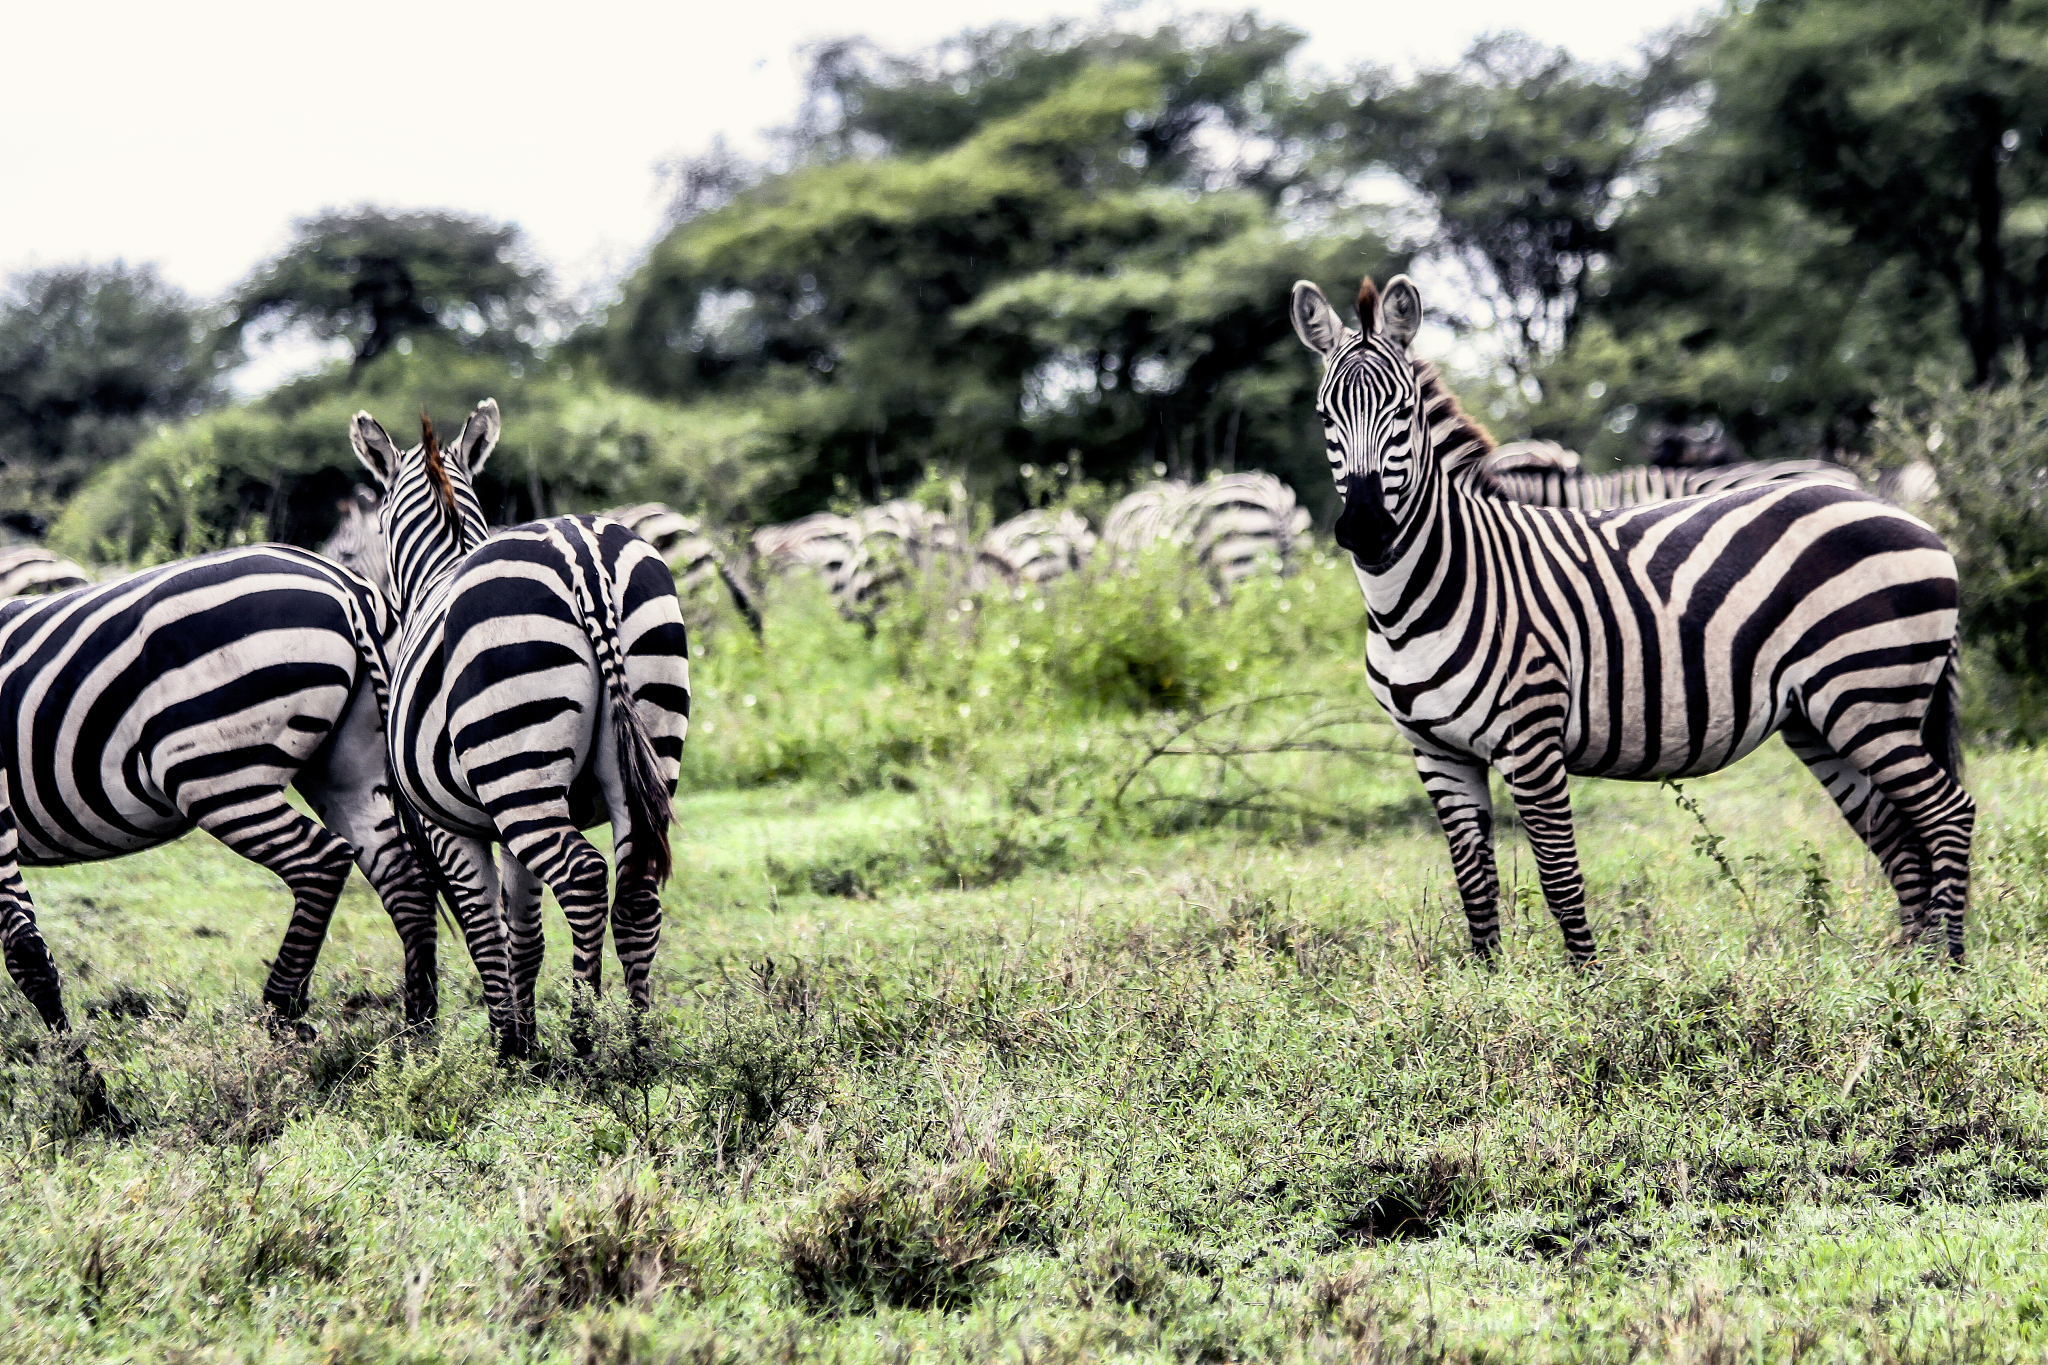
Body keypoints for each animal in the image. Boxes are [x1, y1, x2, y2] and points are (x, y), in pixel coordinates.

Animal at [0, 545, 444, 1041]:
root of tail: (345, 586)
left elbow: (25, 950)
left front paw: (68, 1056)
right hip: (345, 770)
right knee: (405, 877)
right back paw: (417, 1029)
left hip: (215, 771)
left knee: (321, 861)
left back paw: (281, 1010)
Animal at [351, 402, 690, 1055]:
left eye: (376, 527)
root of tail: (581, 554)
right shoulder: (502, 830)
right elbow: (524, 935)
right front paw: (529, 1046)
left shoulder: (450, 828)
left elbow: (487, 930)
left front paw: (509, 1048)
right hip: (644, 746)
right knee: (636, 892)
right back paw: (640, 1048)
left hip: (519, 772)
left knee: (584, 879)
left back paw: (585, 1039)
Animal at [1291, 274, 1975, 963]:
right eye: (1324, 417)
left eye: (1403, 411)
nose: (1366, 529)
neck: (1418, 601)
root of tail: (1907, 514)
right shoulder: (1435, 753)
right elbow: (1475, 886)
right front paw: (1483, 980)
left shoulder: (1531, 738)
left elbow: (1559, 874)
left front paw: (1587, 983)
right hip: (1822, 717)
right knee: (1897, 834)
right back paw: (1907, 967)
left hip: (1870, 695)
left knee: (1948, 813)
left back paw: (1946, 968)